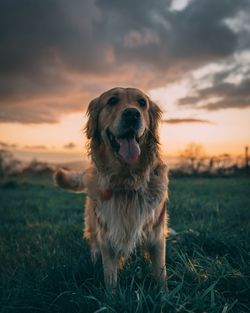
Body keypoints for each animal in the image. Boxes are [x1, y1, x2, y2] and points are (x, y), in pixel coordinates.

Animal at [53, 86, 169, 288]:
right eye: (112, 101)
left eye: (142, 103)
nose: (132, 114)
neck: (127, 180)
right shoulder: (108, 236)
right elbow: (110, 278)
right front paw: (111, 295)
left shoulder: (156, 236)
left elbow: (160, 275)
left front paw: (165, 294)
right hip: (94, 222)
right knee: (93, 243)